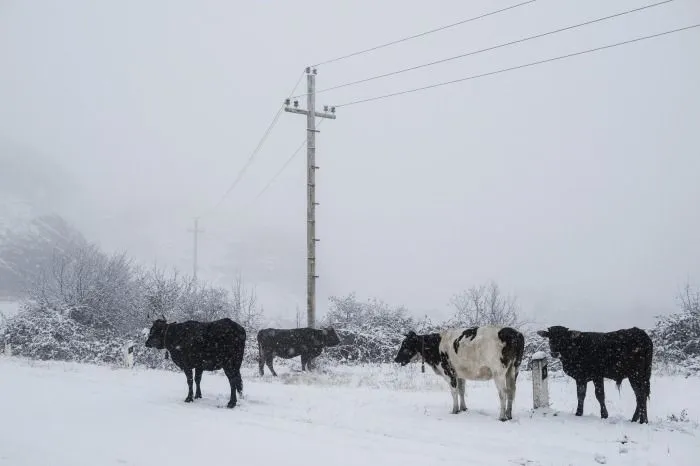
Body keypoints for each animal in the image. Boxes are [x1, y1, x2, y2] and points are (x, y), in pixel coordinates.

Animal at [392, 326, 524, 420]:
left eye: (406, 345)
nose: (396, 359)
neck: (435, 346)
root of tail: (514, 333)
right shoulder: (460, 374)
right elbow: (462, 390)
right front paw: (463, 408)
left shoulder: (449, 372)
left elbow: (454, 392)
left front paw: (454, 410)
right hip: (514, 369)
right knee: (512, 391)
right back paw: (509, 415)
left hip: (499, 372)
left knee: (503, 393)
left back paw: (502, 417)